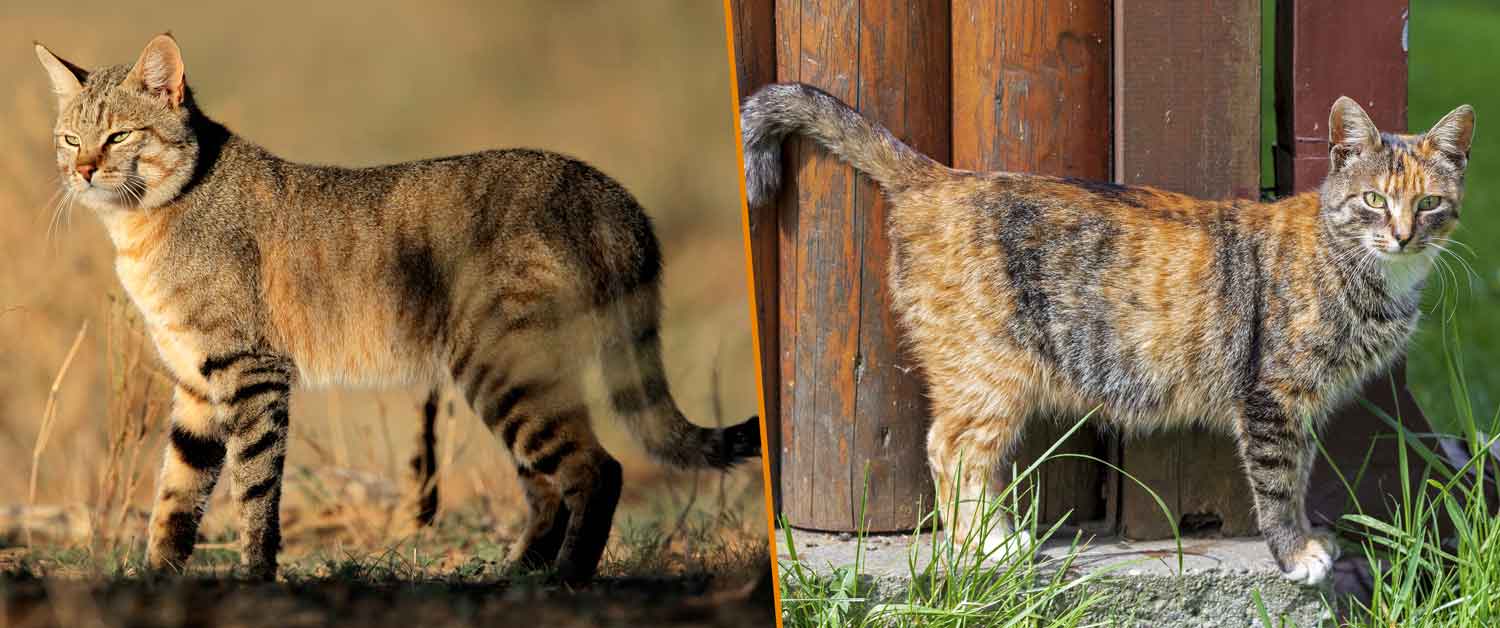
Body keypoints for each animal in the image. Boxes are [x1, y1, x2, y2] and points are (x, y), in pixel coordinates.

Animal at [35, 33, 762, 584]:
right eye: (70, 139)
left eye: (120, 135)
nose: (83, 171)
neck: (143, 227)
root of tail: (613, 194)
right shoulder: (194, 382)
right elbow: (176, 494)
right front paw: (157, 576)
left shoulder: (250, 370)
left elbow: (253, 489)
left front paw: (255, 575)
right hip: (516, 377)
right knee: (548, 486)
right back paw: (518, 574)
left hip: (506, 369)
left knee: (596, 469)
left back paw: (567, 579)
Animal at [744, 82, 1470, 584]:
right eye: (1374, 200)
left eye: (1430, 203)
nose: (1404, 233)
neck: (1358, 265)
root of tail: (941, 178)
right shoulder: (1273, 401)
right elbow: (1278, 484)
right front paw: (1297, 555)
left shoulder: (1304, 409)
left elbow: (1302, 471)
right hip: (989, 373)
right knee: (950, 450)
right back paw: (987, 547)